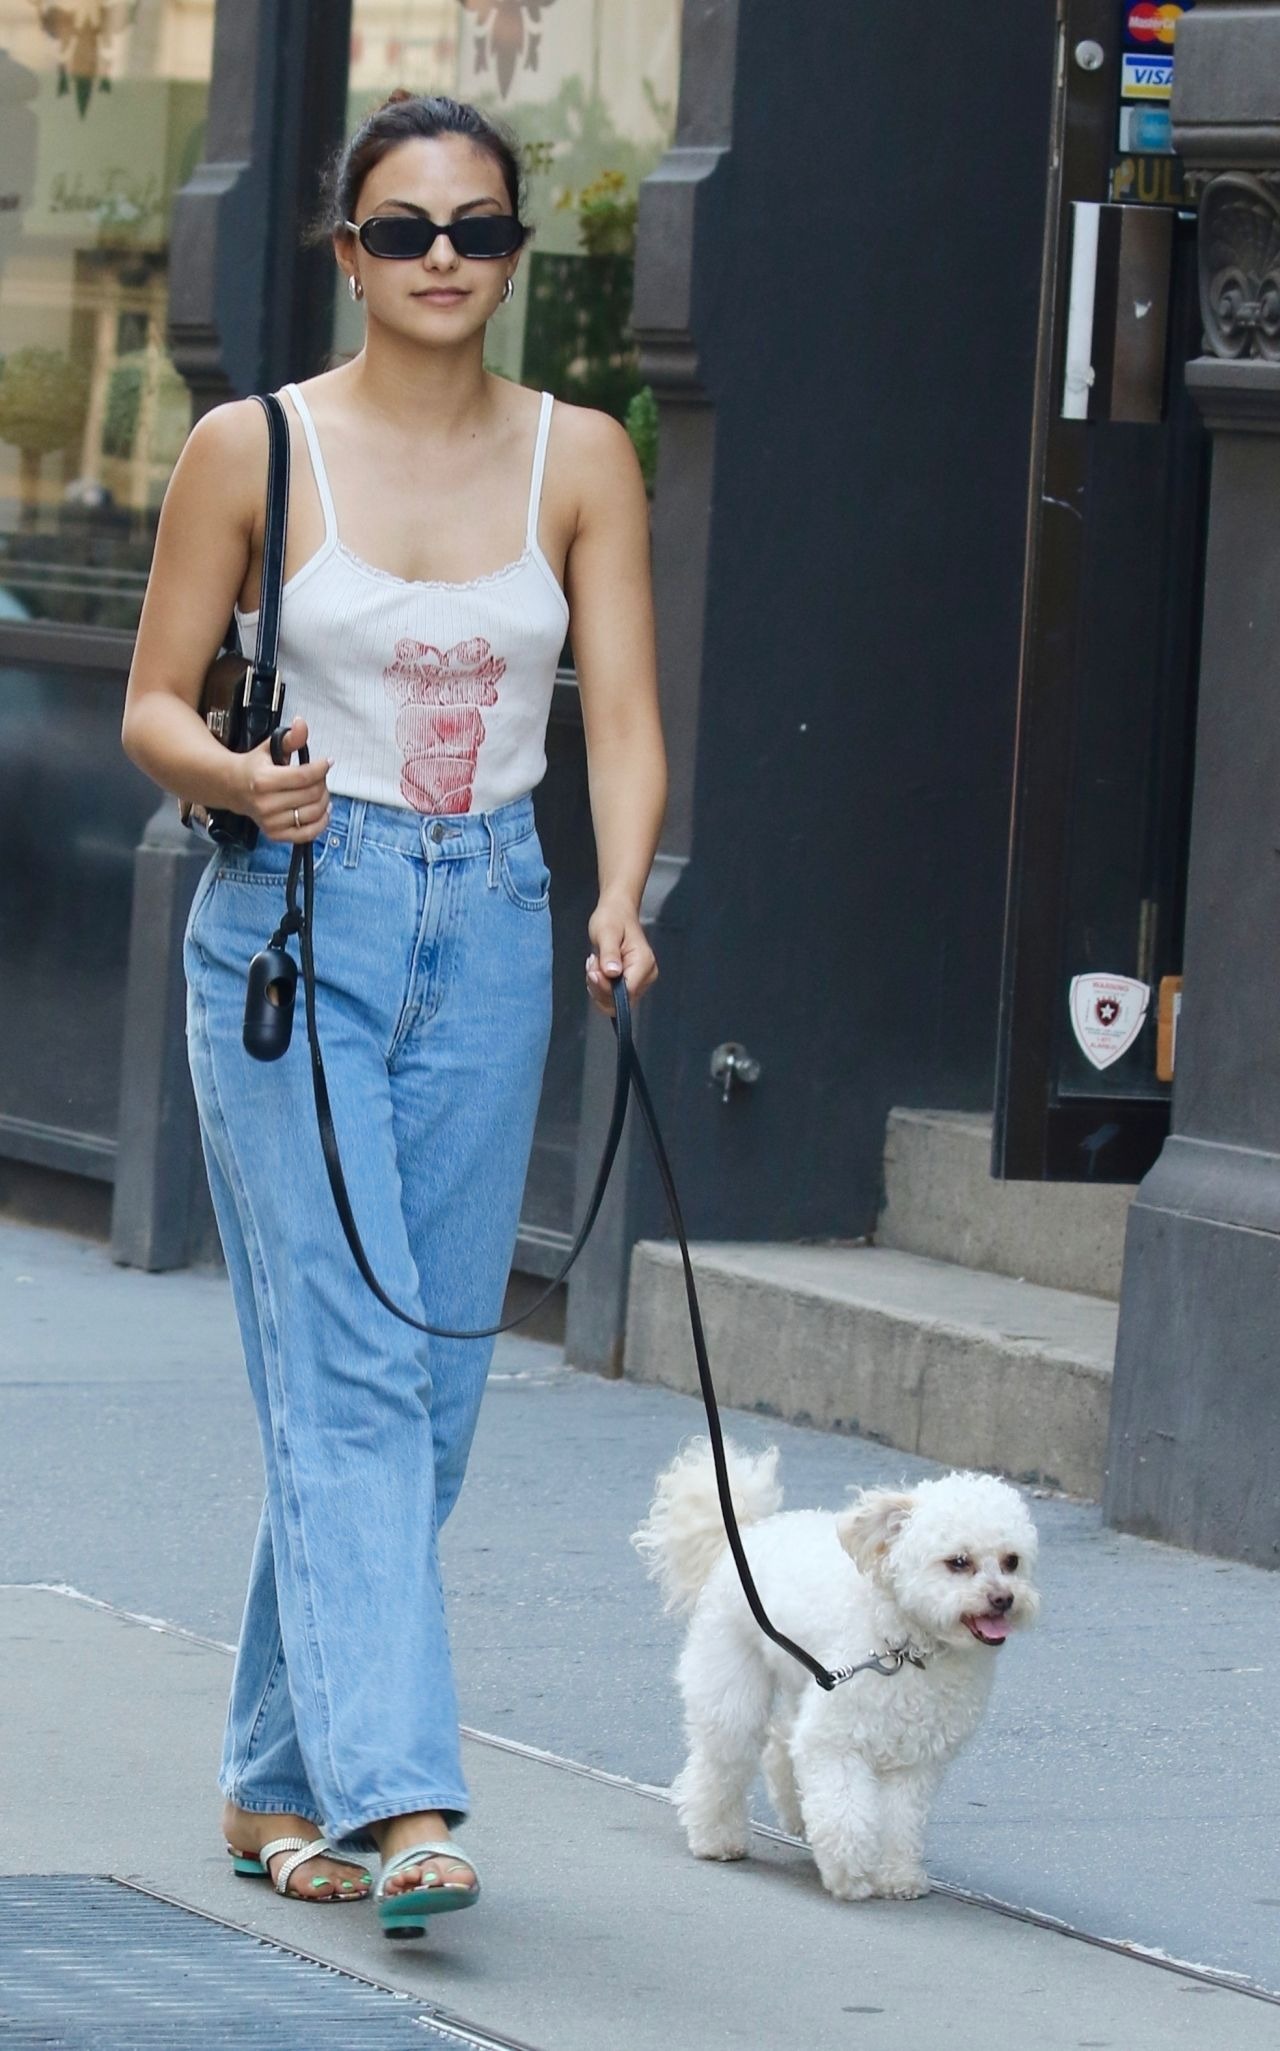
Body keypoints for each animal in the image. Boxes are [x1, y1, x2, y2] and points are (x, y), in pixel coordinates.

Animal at [631, 1443, 1042, 1886]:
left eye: (1012, 1561)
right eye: (959, 1561)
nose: (1003, 1598)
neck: (905, 1647)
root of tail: (751, 1532)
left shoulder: (915, 1761)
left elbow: (901, 1820)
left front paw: (896, 1875)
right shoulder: (834, 1741)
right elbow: (845, 1810)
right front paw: (850, 1868)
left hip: (805, 1680)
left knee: (781, 1743)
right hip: (732, 1684)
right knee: (722, 1760)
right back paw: (716, 1836)